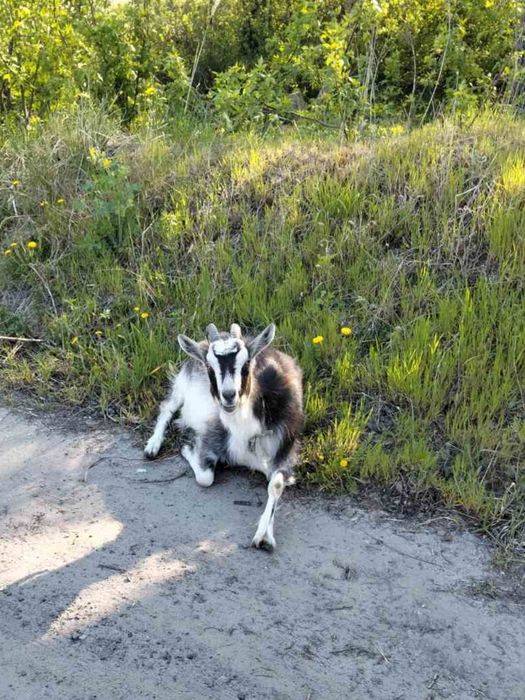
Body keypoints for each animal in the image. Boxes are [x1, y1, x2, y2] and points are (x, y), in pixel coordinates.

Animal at [144, 322, 303, 550]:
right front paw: (187, 447)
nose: (229, 395)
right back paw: (153, 446)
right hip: (181, 387)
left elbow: (276, 484)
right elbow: (205, 478)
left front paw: (264, 536)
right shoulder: (212, 437)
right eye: (209, 367)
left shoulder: (283, 450)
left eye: (246, 363)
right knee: (167, 407)